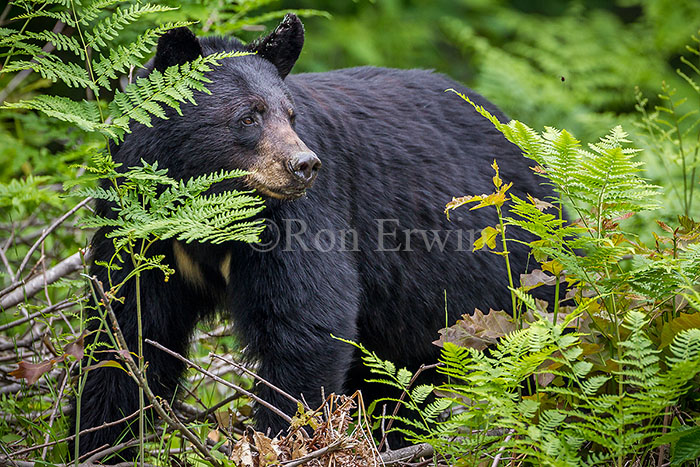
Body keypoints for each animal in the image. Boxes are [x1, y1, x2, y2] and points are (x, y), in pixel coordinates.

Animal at [74, 13, 556, 458]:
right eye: (247, 117)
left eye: (290, 115)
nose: (303, 165)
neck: (207, 213)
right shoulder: (142, 228)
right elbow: (128, 332)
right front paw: (100, 442)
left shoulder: (298, 219)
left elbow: (305, 324)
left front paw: (281, 442)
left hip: (515, 268)